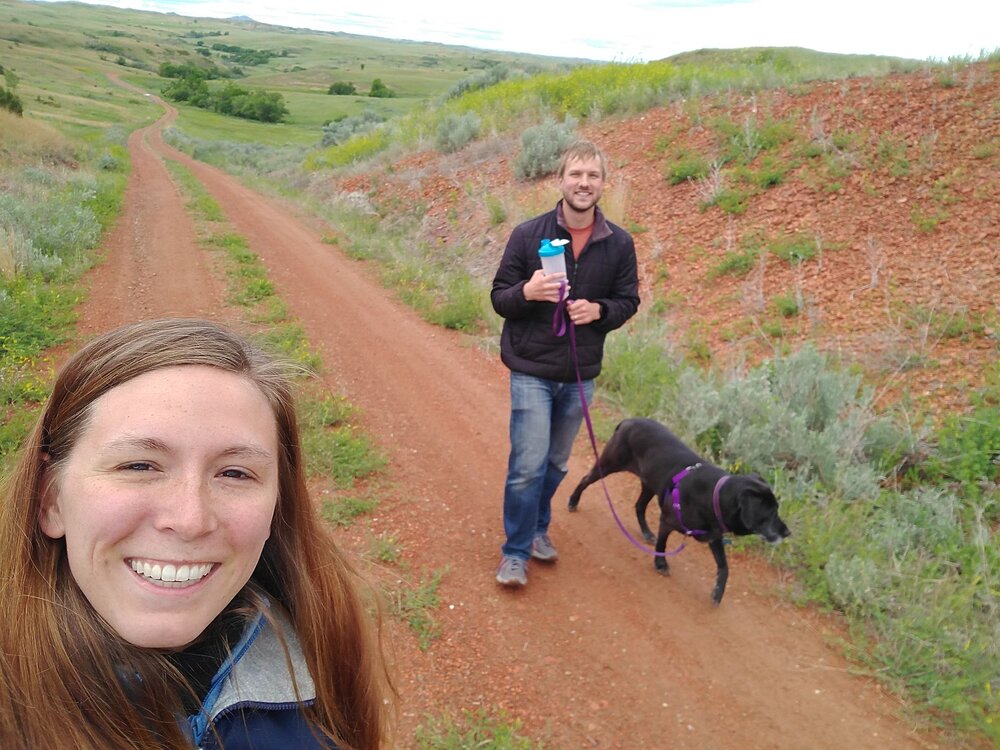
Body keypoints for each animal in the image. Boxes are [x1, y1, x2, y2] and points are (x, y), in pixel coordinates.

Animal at [572, 420, 788, 608]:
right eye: (769, 513)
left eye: (777, 509)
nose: (788, 532)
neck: (715, 496)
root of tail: (628, 421)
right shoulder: (667, 521)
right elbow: (662, 545)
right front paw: (660, 564)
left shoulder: (714, 537)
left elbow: (725, 567)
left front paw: (718, 592)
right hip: (608, 464)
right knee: (585, 480)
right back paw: (573, 501)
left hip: (649, 483)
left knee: (639, 506)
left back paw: (646, 532)